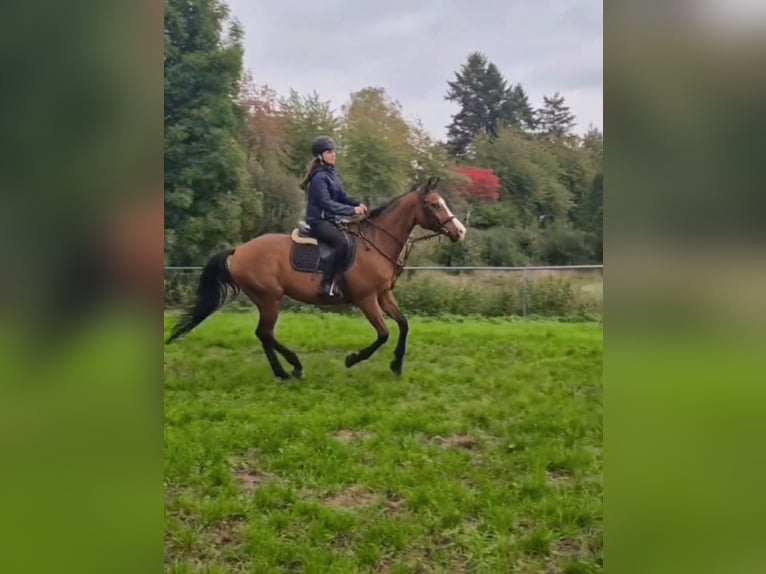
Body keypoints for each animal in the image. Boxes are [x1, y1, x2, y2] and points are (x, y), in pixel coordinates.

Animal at [165, 176, 467, 379]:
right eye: (434, 204)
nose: (460, 231)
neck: (375, 242)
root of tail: (239, 250)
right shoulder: (367, 299)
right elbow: (383, 334)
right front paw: (353, 359)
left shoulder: (383, 294)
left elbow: (403, 325)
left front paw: (396, 364)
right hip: (269, 298)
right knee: (265, 333)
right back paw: (292, 368)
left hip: (267, 300)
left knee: (264, 335)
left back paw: (284, 371)